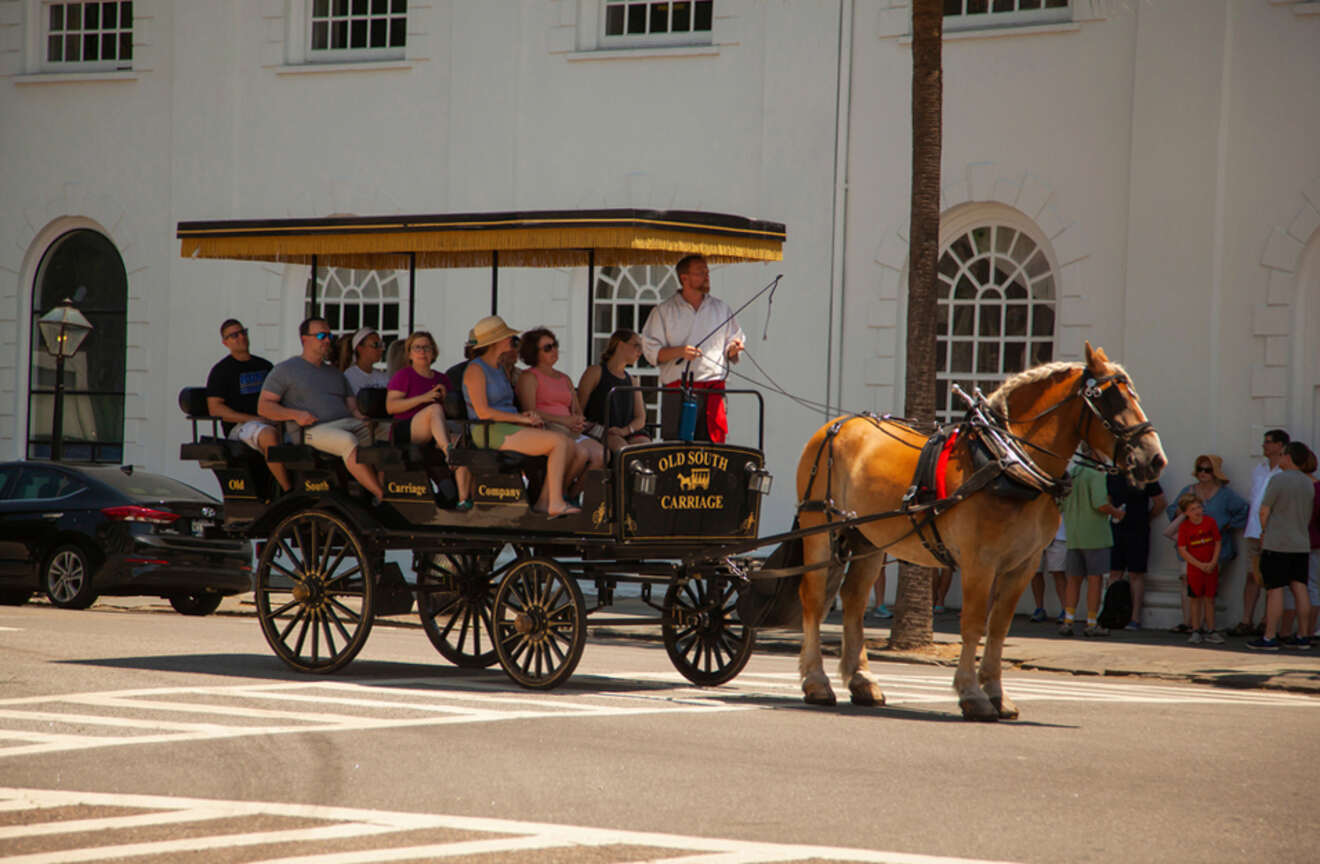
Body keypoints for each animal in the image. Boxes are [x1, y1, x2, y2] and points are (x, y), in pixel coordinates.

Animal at [792, 345, 1166, 722]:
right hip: (819, 529)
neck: (1007, 462)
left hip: (868, 538)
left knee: (853, 600)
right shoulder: (979, 563)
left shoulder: (1024, 565)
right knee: (813, 599)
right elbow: (972, 624)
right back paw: (817, 682)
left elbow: (998, 626)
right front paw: (972, 694)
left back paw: (862, 681)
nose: (1155, 459)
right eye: (1111, 398)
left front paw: (997, 693)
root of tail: (836, 425)